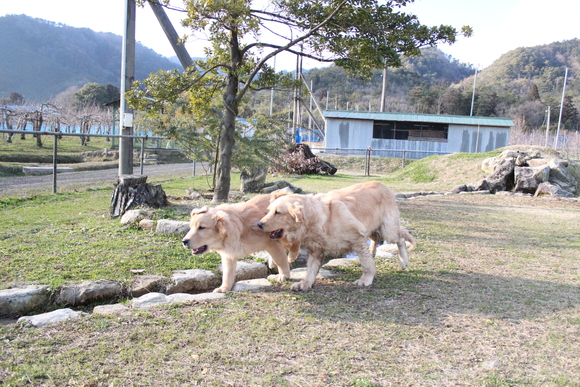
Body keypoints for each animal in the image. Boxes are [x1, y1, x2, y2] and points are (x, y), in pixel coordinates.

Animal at [258, 182, 412, 292]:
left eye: (278, 212)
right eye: (269, 211)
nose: (259, 224)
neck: (322, 219)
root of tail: (383, 185)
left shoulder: (358, 239)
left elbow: (366, 264)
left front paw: (366, 279)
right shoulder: (315, 250)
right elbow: (311, 270)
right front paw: (305, 283)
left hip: (388, 230)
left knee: (400, 238)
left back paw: (403, 261)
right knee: (375, 239)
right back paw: (374, 253)